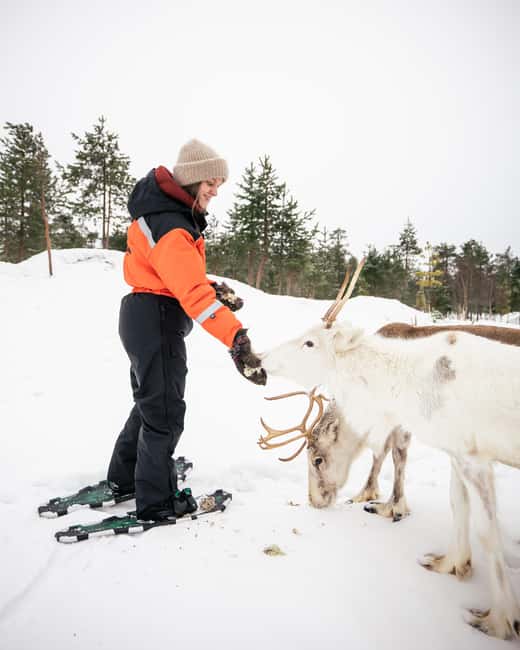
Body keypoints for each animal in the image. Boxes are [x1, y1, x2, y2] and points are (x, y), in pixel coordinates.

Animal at [258, 260, 520, 640]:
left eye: (317, 459)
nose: (260, 357)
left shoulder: (469, 455)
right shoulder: (455, 451)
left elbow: (392, 456)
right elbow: (457, 505)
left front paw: (499, 621)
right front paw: (450, 563)